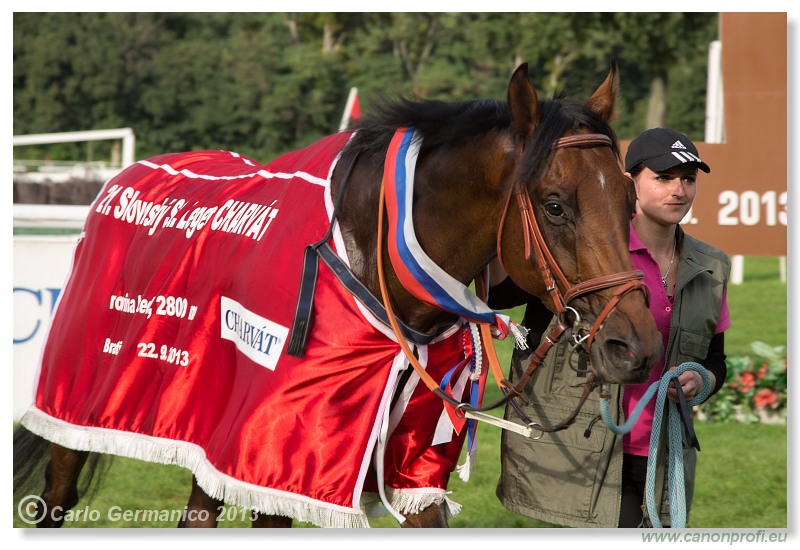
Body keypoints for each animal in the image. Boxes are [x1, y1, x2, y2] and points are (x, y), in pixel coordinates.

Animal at [14, 63, 664, 532]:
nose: (634, 346)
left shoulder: (412, 460)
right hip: (77, 406)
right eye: (555, 205)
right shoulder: (276, 458)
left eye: (628, 200)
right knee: (57, 497)